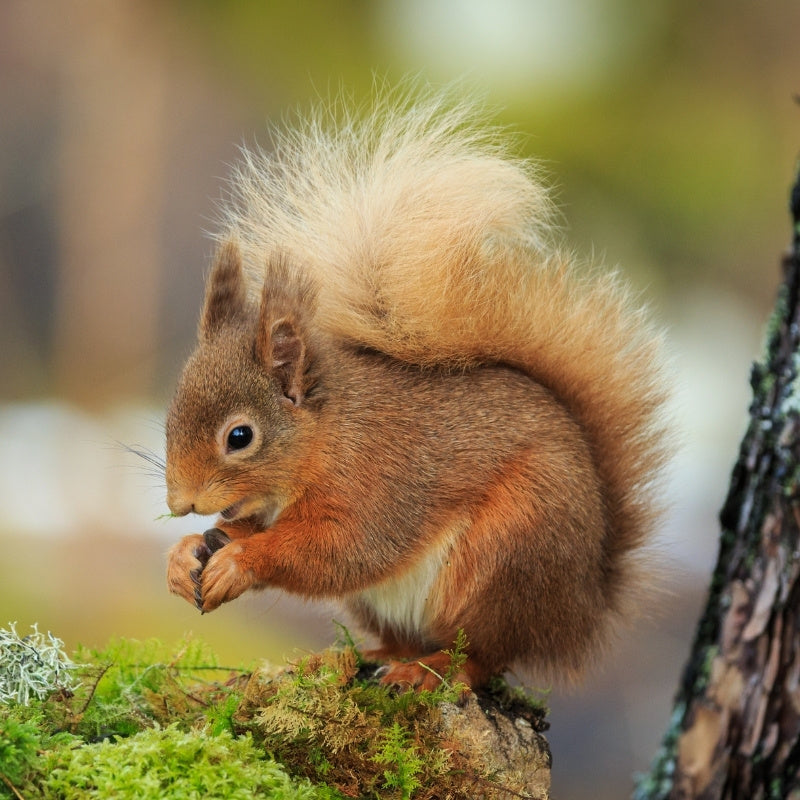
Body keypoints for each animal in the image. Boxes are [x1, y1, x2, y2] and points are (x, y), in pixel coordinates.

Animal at [166, 90, 672, 692]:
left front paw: (240, 560)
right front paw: (186, 555)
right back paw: (350, 658)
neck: (327, 437)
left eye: (239, 437)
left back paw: (427, 672)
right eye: (170, 414)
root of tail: (580, 610)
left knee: (483, 656)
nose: (180, 503)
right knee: (405, 640)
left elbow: (339, 551)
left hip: (505, 555)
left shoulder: (377, 484)